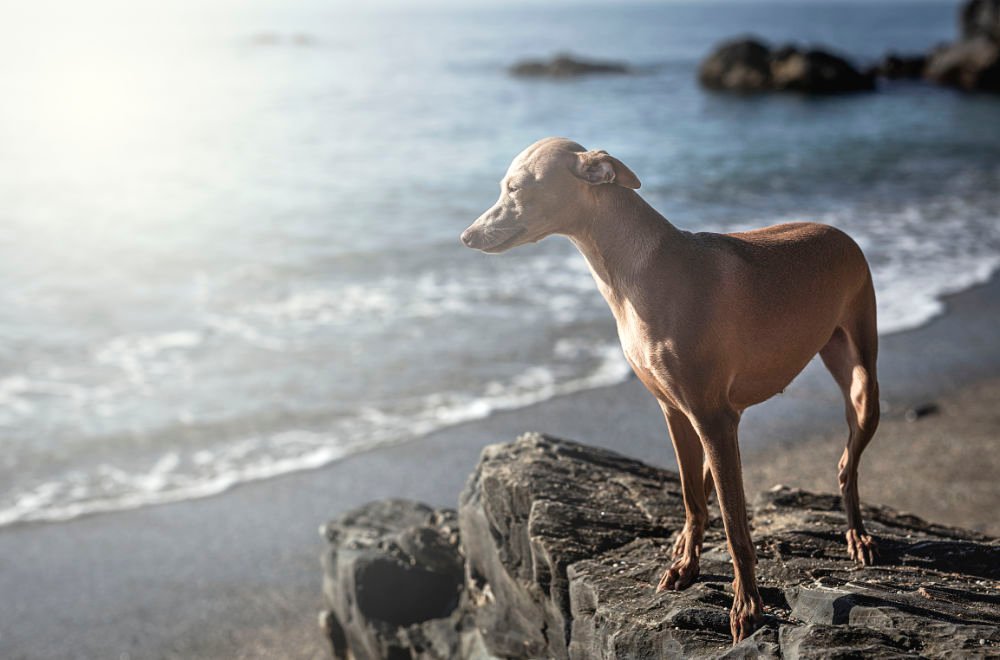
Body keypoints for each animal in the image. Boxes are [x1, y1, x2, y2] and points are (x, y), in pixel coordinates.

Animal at [460, 137, 884, 640]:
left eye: (516, 187)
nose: (466, 237)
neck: (638, 272)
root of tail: (842, 233)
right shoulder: (676, 412)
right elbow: (690, 496)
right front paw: (686, 565)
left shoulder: (713, 418)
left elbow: (736, 526)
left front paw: (747, 605)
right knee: (711, 482)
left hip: (861, 387)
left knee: (845, 466)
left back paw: (857, 534)